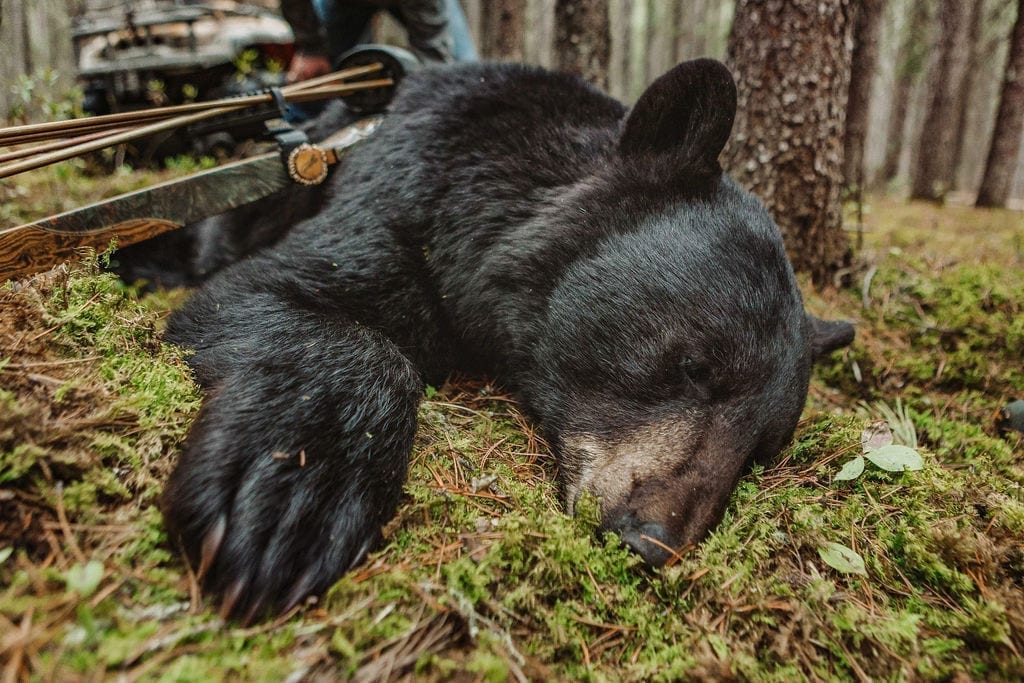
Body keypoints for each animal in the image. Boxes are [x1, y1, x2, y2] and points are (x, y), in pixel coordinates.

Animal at [161, 61, 856, 622]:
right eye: (693, 365)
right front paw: (292, 501)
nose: (650, 540)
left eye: (759, 452)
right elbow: (265, 291)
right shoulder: (401, 203)